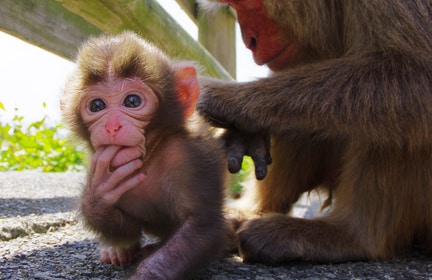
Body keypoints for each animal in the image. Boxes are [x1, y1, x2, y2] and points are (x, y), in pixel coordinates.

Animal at [63, 31, 230, 278]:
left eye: (132, 101)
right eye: (96, 106)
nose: (112, 126)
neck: (150, 155)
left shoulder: (190, 155)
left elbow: (201, 224)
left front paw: (146, 274)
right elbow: (130, 227)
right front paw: (97, 197)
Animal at [197, 0, 432, 264]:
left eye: (250, 4)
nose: (250, 41)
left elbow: (416, 75)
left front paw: (222, 100)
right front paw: (243, 134)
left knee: (402, 117)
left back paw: (351, 236)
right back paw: (252, 211)